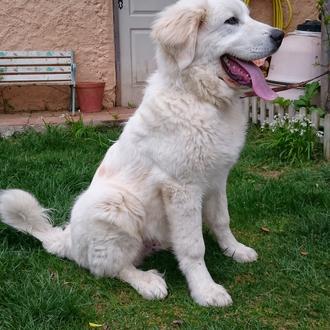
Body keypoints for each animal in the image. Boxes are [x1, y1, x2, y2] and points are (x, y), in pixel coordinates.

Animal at [0, 0, 284, 306]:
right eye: (231, 21)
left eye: (249, 15)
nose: (280, 35)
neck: (198, 97)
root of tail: (69, 241)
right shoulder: (181, 188)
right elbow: (194, 246)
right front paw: (205, 290)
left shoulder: (217, 179)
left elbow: (222, 220)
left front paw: (235, 250)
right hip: (114, 203)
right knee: (108, 267)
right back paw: (147, 282)